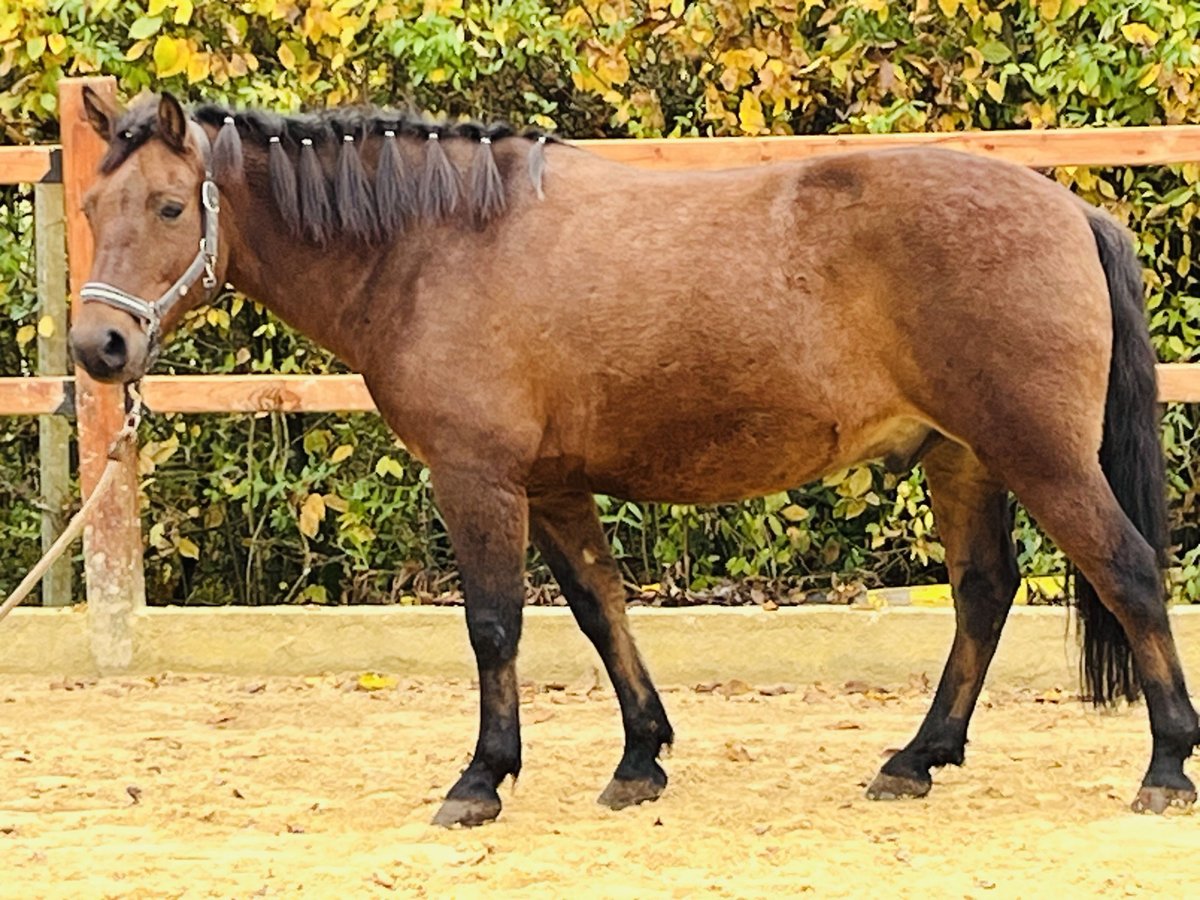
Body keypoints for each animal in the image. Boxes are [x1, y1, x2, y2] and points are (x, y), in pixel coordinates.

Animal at [70, 91, 1195, 830]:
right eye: (89, 210)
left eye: (170, 207)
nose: (100, 348)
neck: (436, 245)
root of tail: (1072, 210)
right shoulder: (556, 484)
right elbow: (600, 609)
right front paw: (640, 759)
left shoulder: (477, 479)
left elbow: (494, 625)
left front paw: (480, 780)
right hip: (963, 458)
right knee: (983, 593)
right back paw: (916, 760)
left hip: (1040, 453)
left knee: (1129, 573)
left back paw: (1166, 766)